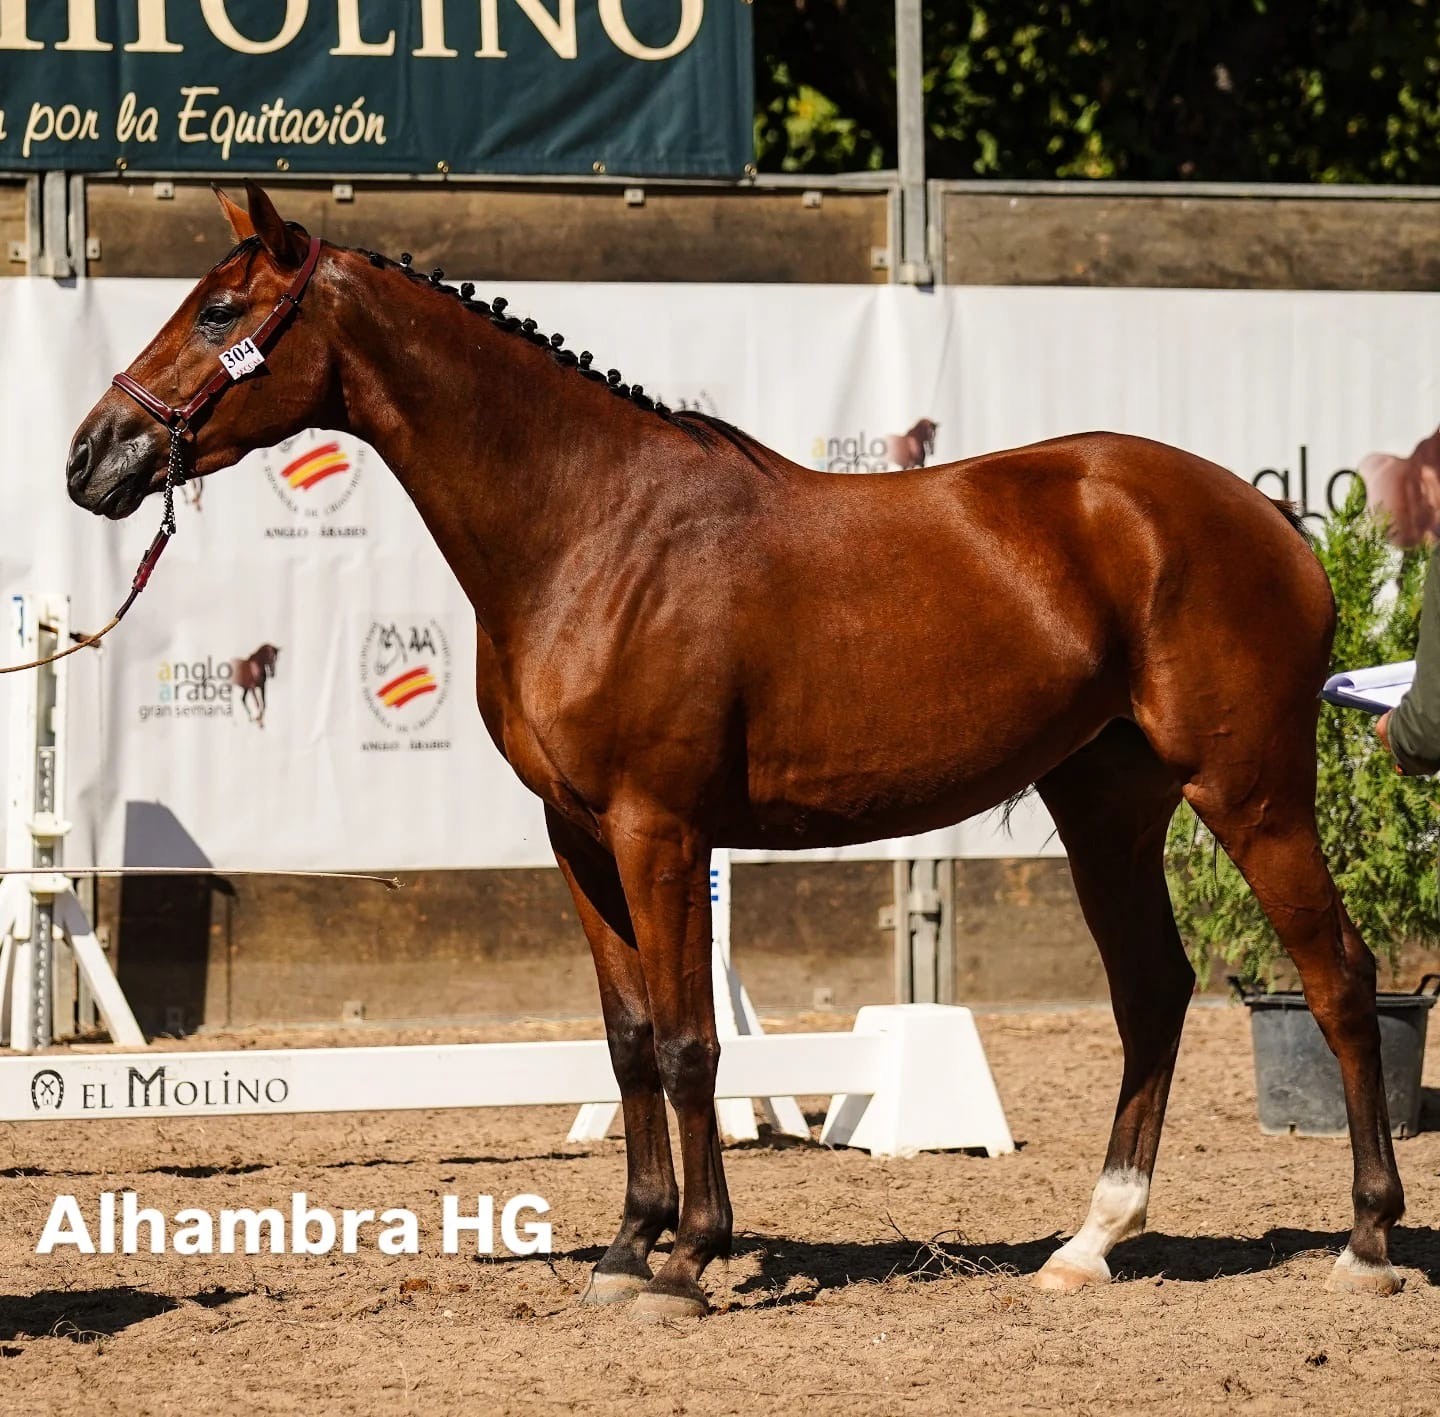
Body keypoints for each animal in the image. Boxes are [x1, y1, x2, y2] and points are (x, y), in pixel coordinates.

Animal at [63, 182, 1405, 1317]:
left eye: (220, 310)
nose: (91, 456)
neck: (587, 527)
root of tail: (1268, 520)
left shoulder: (660, 828)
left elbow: (688, 1039)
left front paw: (691, 1256)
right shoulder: (578, 836)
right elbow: (625, 1043)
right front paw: (627, 1246)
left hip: (1252, 791)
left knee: (1338, 974)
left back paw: (1368, 1240)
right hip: (1107, 804)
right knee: (1153, 991)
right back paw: (1092, 1241)